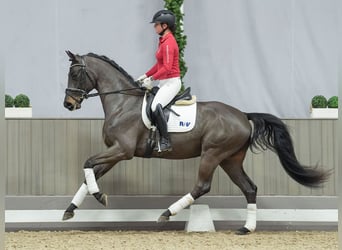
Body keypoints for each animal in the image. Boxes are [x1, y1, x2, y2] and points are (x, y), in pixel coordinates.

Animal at [62, 50, 330, 234]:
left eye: (75, 73)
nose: (68, 104)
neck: (123, 104)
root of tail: (243, 115)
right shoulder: (115, 152)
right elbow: (90, 174)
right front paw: (70, 210)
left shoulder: (122, 151)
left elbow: (88, 163)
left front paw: (100, 196)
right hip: (230, 160)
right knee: (249, 188)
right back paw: (246, 228)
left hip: (212, 154)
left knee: (202, 186)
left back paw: (166, 213)